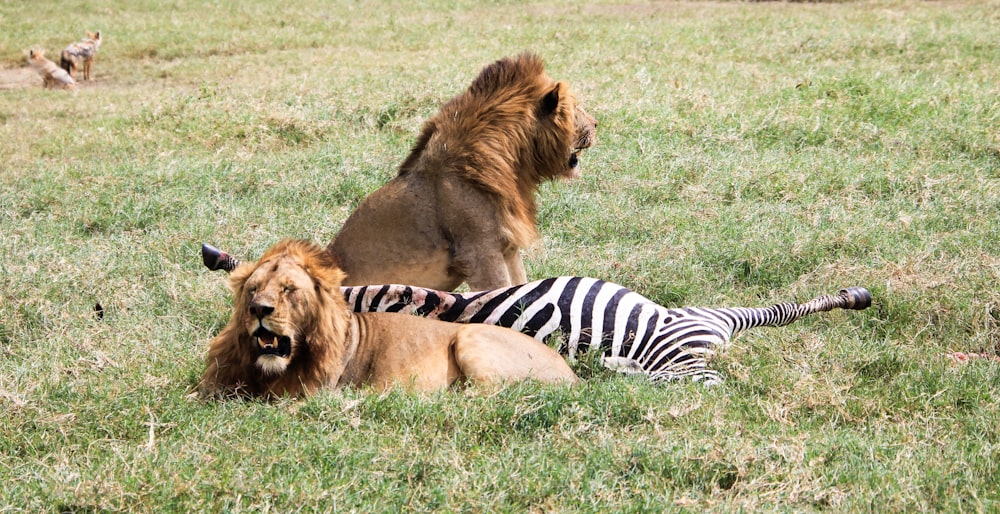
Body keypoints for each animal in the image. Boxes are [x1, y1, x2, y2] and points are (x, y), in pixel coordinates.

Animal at [197, 238, 580, 398]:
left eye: (289, 290)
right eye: (253, 289)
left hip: (470, 336)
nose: (260, 309)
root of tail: (572, 376)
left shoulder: (308, 395)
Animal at [328, 54, 596, 292]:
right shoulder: (479, 251)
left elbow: (520, 287)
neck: (515, 166)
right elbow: (500, 292)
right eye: (575, 108)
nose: (596, 124)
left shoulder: (507, 247)